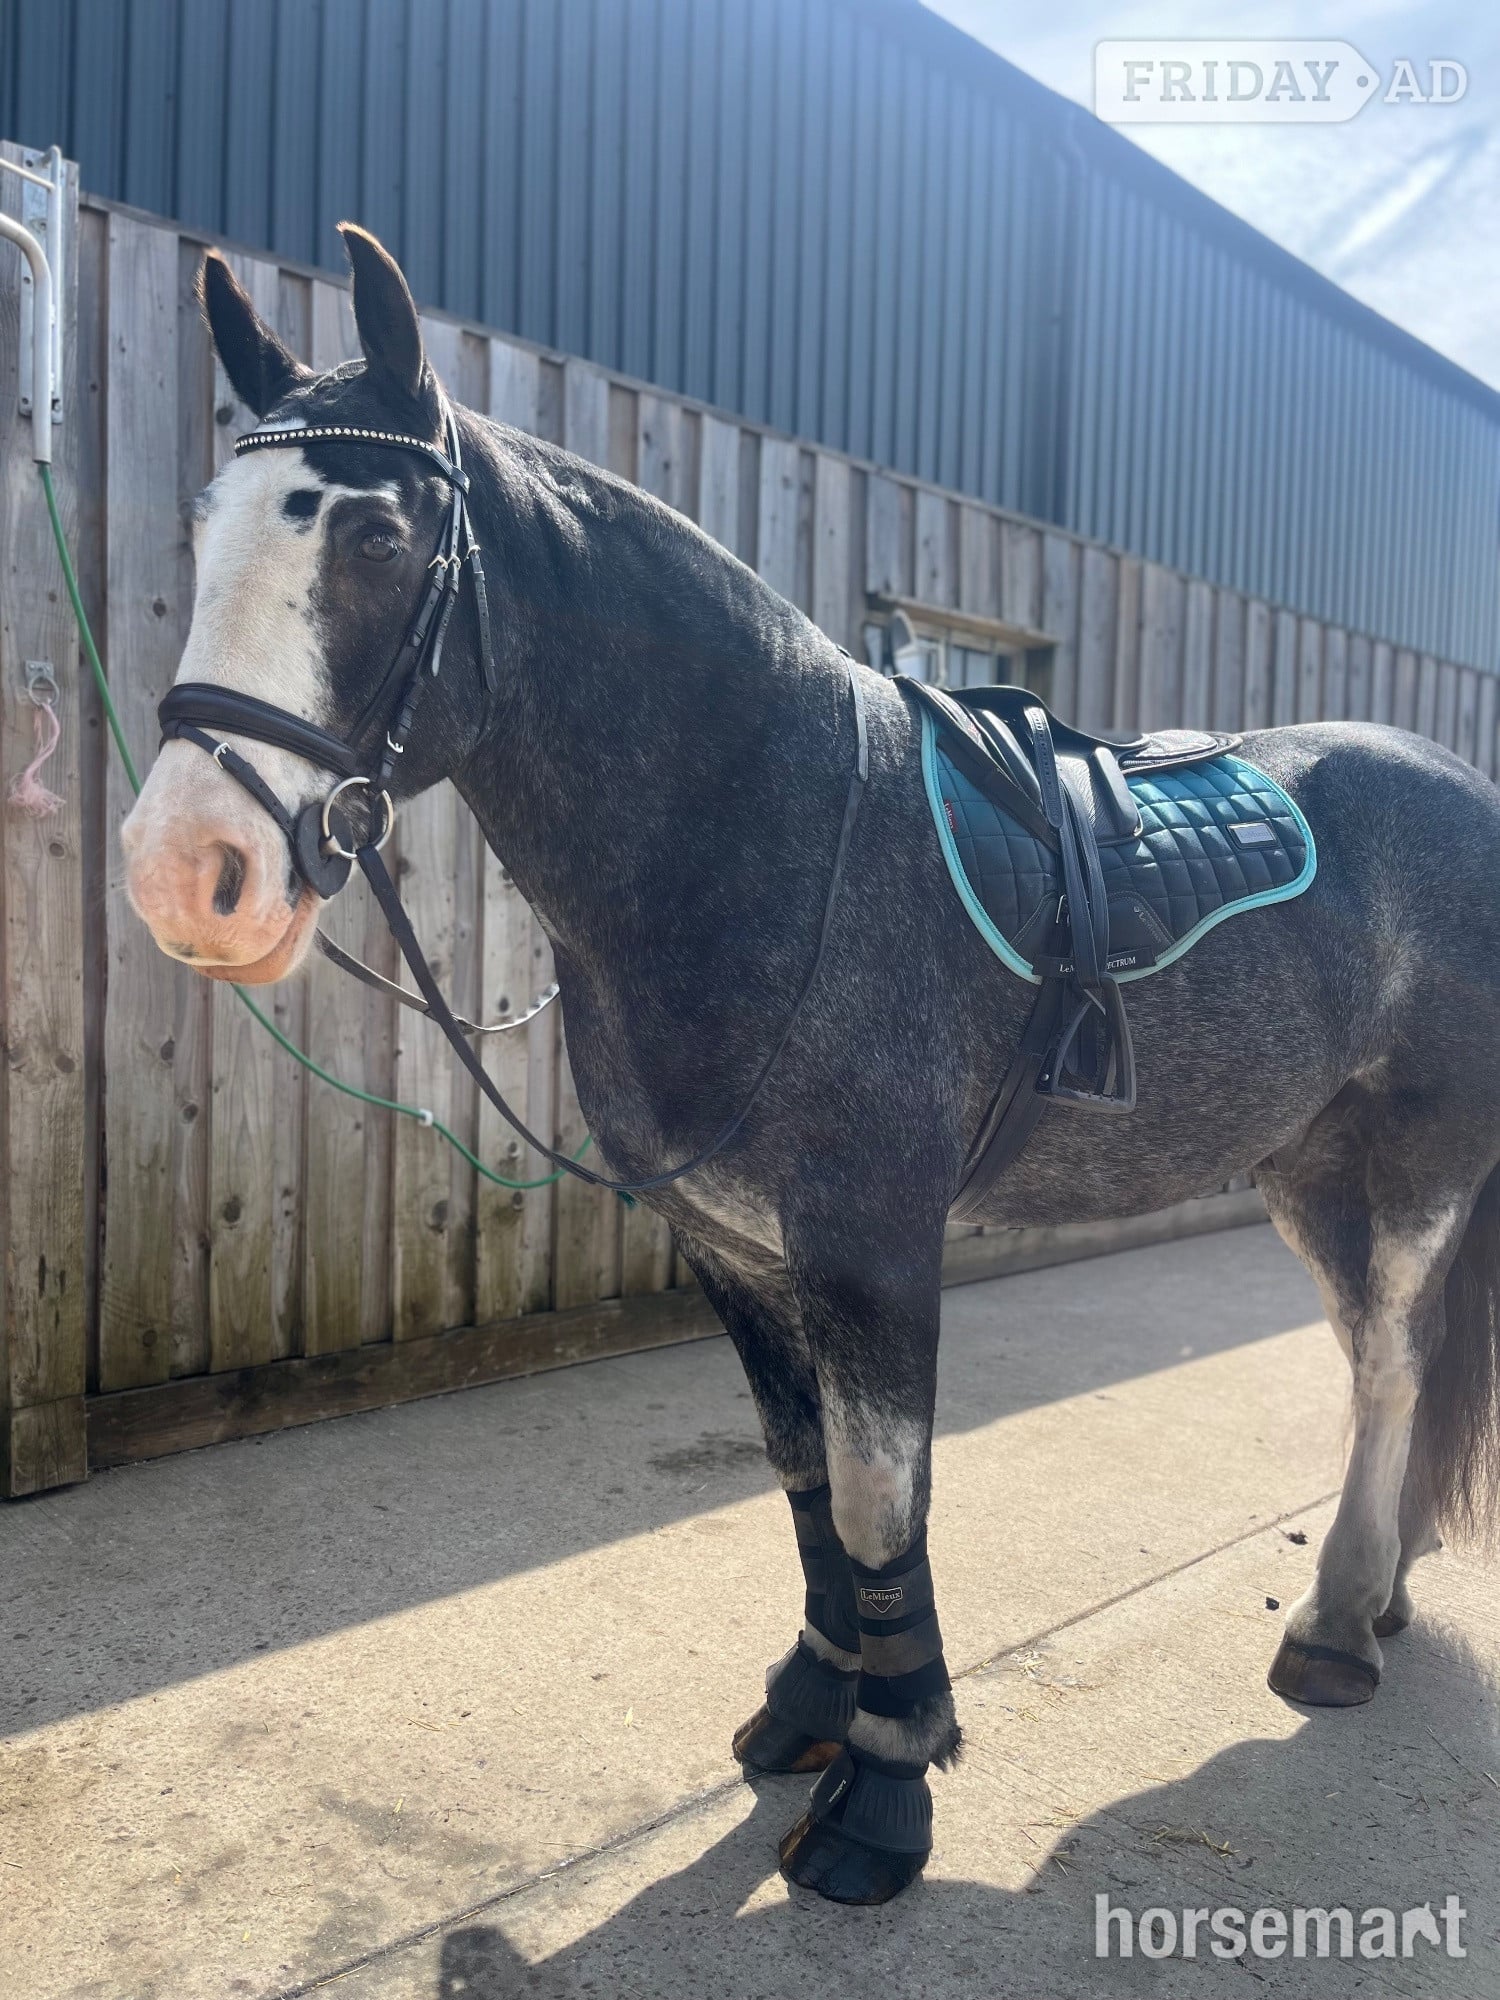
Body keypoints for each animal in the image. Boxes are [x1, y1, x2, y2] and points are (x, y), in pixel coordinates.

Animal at [120, 226, 1500, 1905]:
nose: (188, 871)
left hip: (1421, 1164)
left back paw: (1337, 1627)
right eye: (206, 525)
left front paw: (886, 1785)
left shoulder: (873, 1248)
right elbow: (802, 1482)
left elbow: (878, 1491)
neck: (766, 835)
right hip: (1309, 1169)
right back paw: (1381, 1594)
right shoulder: (733, 1245)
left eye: (378, 538)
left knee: (1398, 1359)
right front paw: (811, 1705)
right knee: (1383, 1363)